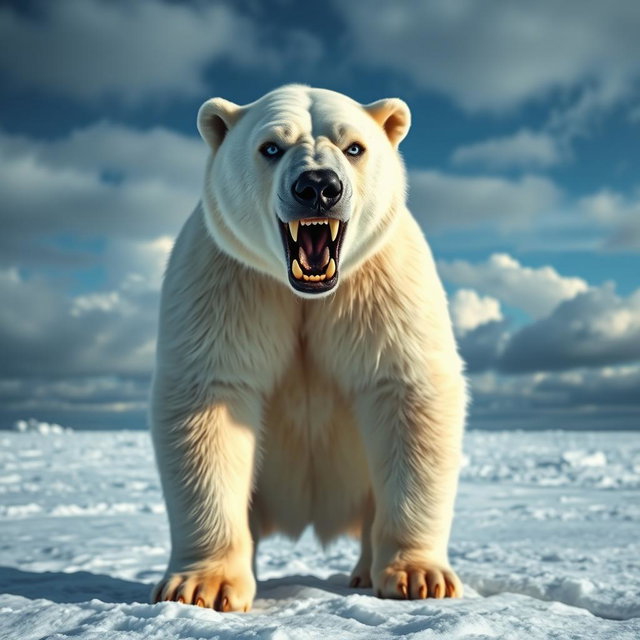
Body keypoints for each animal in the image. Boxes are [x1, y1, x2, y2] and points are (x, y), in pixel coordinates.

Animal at [150, 85, 467, 612]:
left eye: (354, 146)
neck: (306, 293)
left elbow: (407, 390)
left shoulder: (383, 282)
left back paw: (363, 571)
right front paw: (201, 587)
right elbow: (210, 399)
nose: (318, 185)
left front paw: (420, 578)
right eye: (271, 147)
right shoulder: (228, 280)